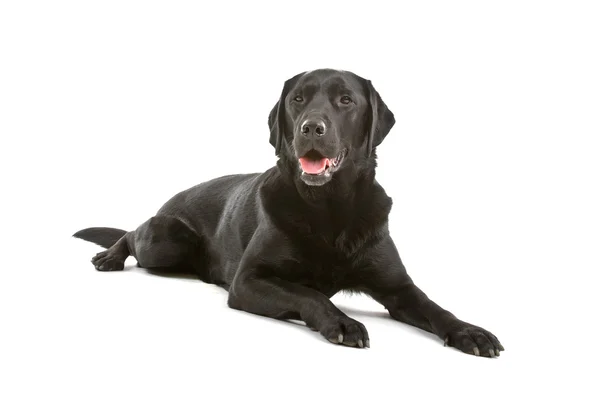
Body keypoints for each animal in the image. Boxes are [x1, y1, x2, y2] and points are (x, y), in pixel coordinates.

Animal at [75, 68, 506, 356]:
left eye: (346, 100)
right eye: (297, 99)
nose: (311, 127)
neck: (330, 209)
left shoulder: (398, 287)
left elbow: (435, 306)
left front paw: (470, 331)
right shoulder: (249, 280)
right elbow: (307, 292)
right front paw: (342, 320)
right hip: (167, 239)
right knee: (132, 233)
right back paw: (109, 256)